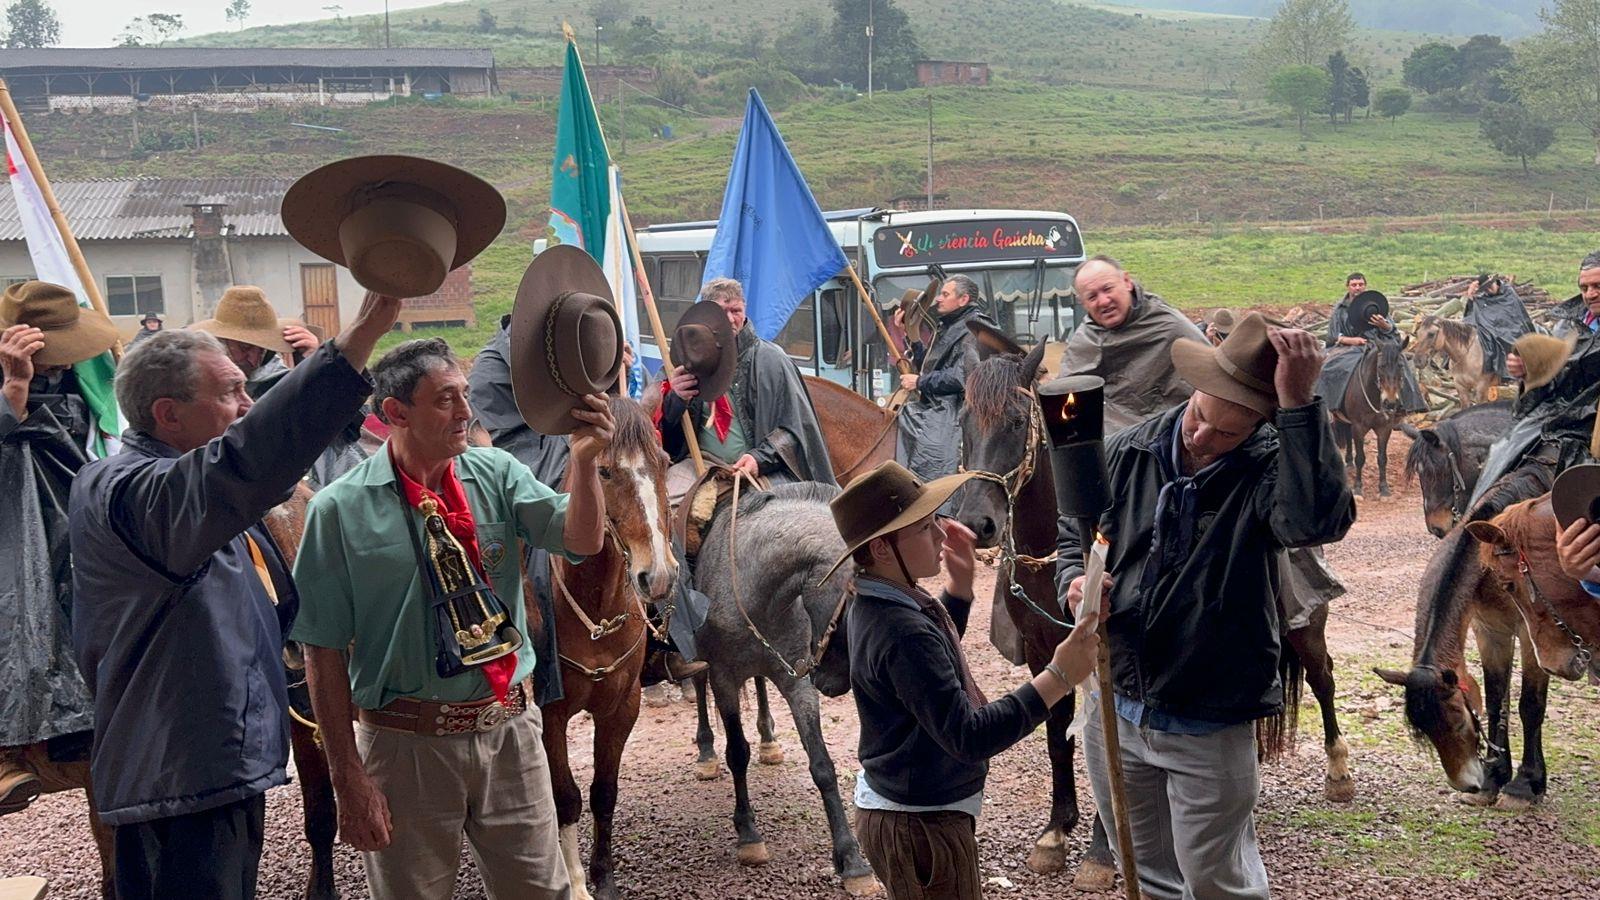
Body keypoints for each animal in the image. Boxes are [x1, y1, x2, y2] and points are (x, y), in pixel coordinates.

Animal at [540, 397, 678, 896]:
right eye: (603, 471)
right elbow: (565, 798)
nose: (658, 575)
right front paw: (576, 881)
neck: (594, 609)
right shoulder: (551, 714)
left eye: (664, 462)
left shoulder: (621, 707)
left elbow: (603, 792)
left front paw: (604, 877)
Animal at [1376, 461, 1548, 807]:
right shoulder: (1490, 630)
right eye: (1425, 729)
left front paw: (1526, 783)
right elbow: (1495, 700)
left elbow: (1530, 705)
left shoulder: (1532, 635)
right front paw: (1495, 776)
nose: (1465, 784)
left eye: (1457, 719)